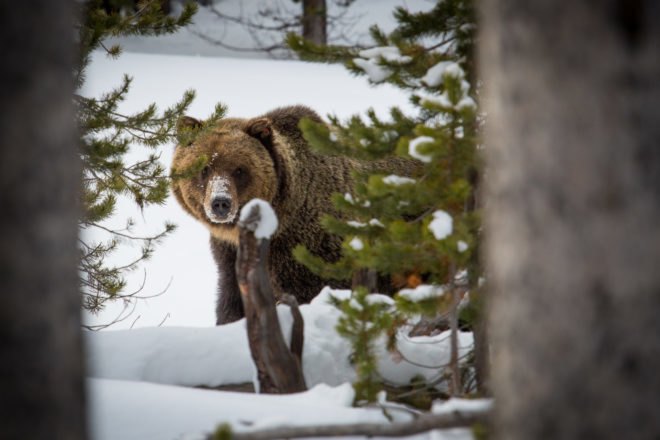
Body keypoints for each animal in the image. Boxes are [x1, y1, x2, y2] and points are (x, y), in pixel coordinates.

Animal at [171, 105, 419, 324]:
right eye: (204, 169)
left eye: (239, 169)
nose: (220, 202)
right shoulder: (229, 254)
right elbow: (232, 301)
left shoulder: (307, 250)